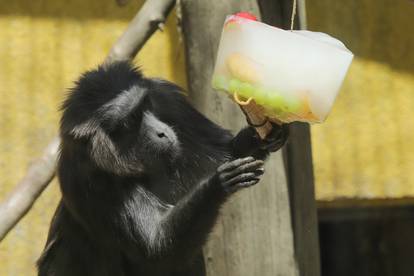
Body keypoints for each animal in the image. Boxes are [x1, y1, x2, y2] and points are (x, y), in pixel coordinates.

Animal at [37, 62, 288, 276]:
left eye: (145, 106)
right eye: (130, 121)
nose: (160, 132)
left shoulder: (168, 98)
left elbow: (226, 152)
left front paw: (259, 136)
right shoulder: (82, 176)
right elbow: (157, 248)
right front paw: (218, 184)